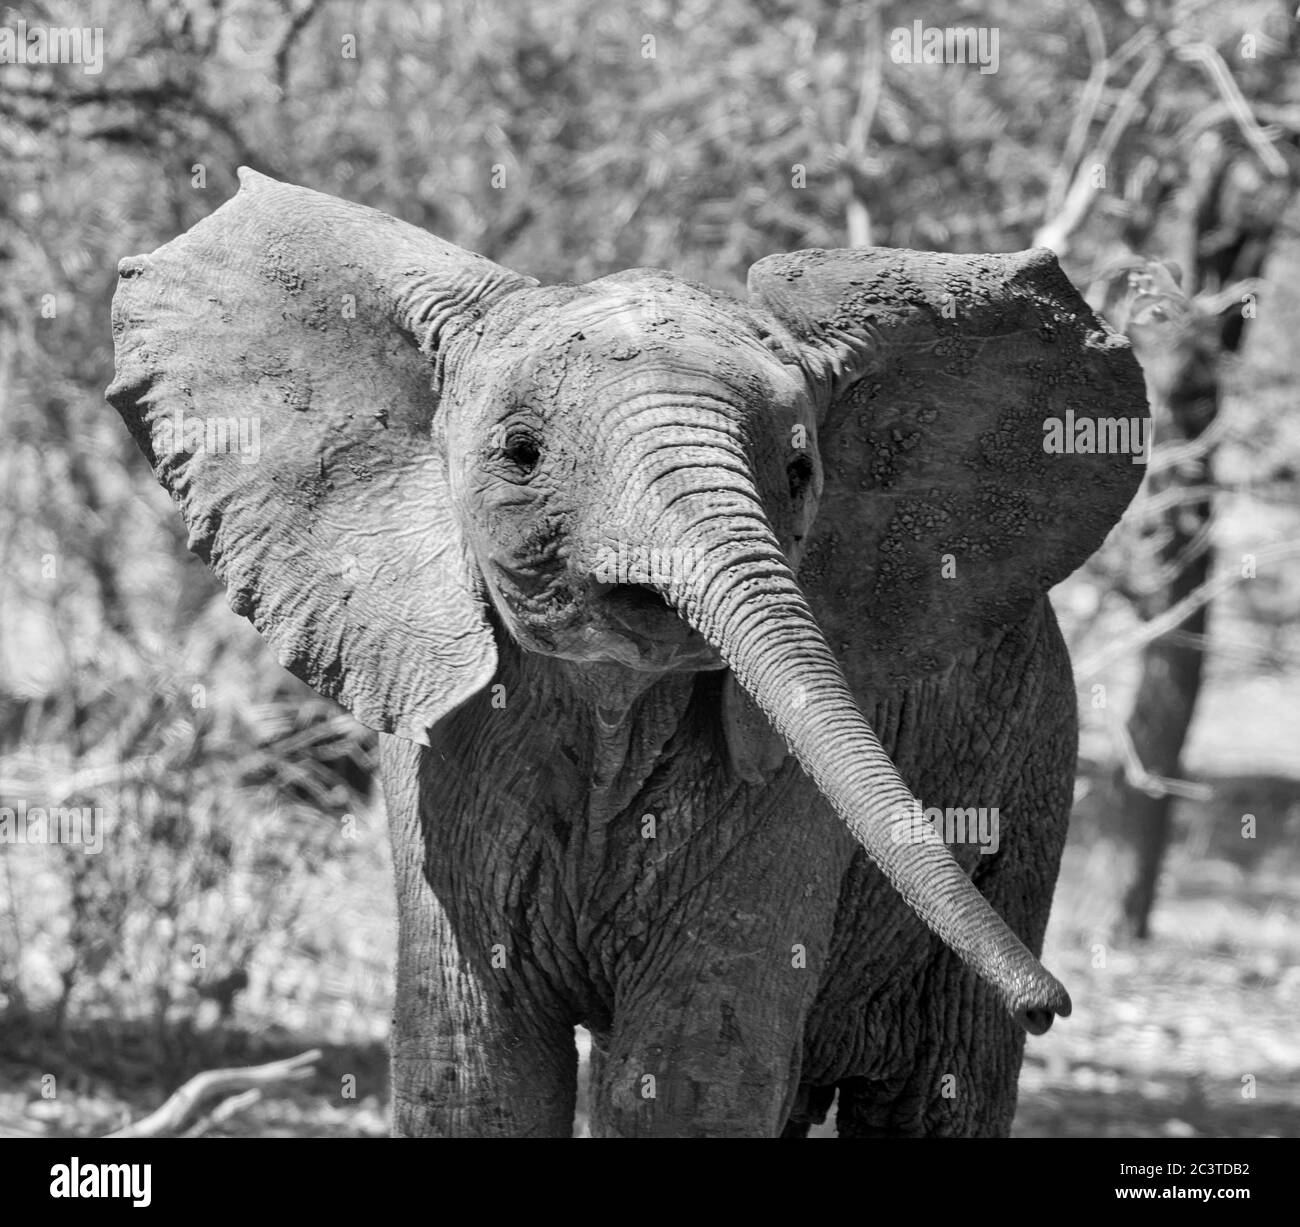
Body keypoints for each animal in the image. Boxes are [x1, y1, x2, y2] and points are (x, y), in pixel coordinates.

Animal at [111, 167, 1149, 1133]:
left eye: (800, 470)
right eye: (521, 452)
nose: (1050, 1001)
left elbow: (690, 1072)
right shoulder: (438, 756)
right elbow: (473, 1066)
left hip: (1030, 754)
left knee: (940, 1093)